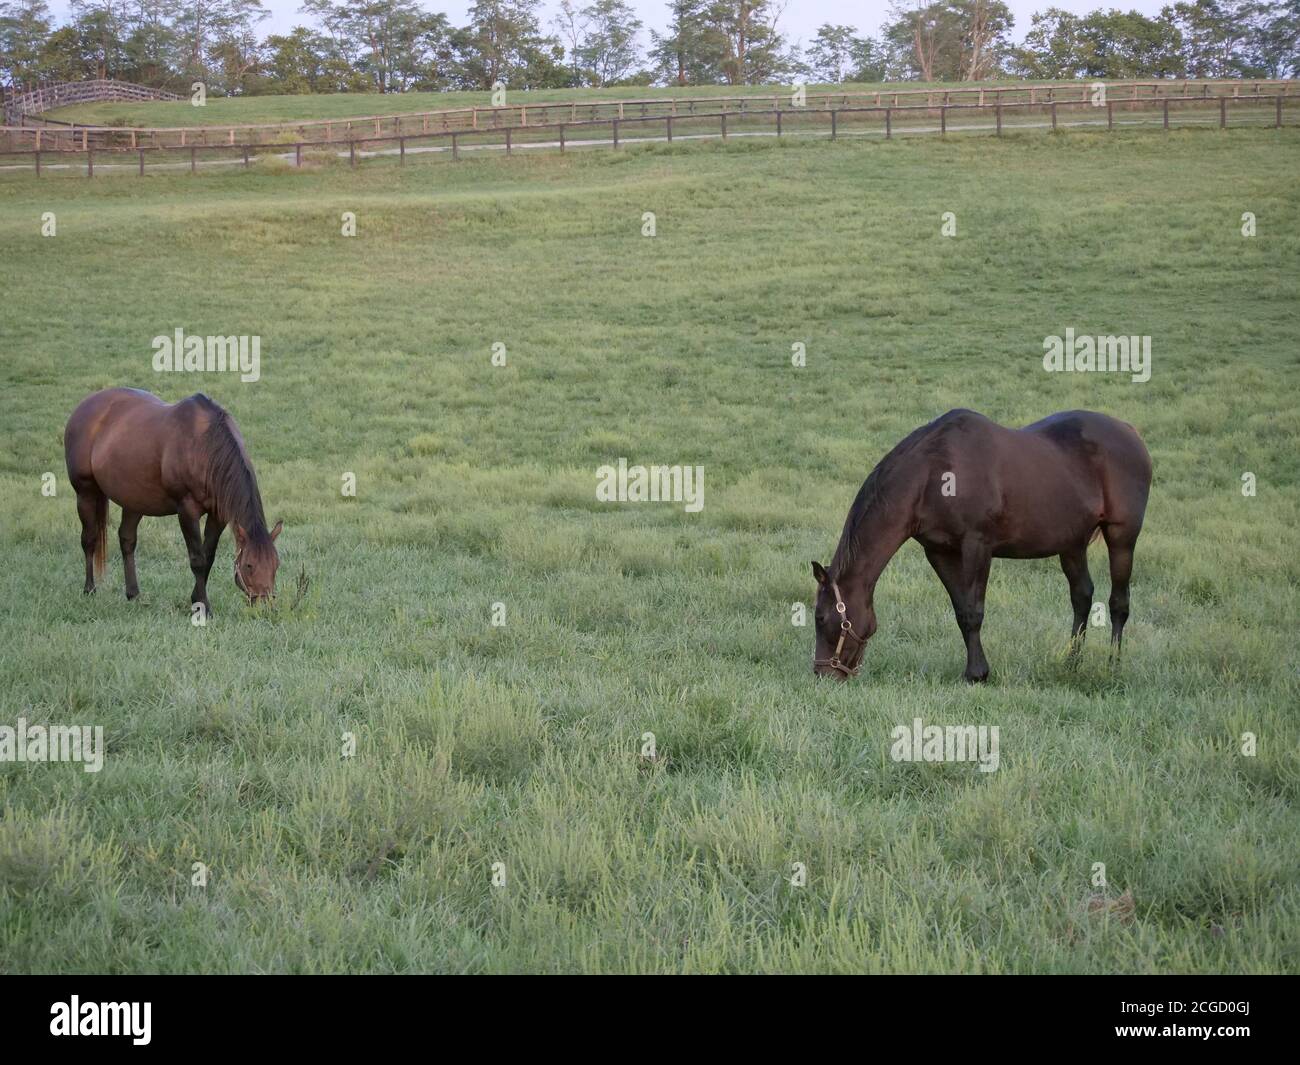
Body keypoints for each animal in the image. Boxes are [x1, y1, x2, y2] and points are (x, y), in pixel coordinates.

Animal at [64, 388, 283, 613]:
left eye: (276, 564)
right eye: (249, 565)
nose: (265, 605)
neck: (204, 447)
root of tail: (85, 406)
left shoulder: (218, 515)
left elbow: (208, 556)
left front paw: (196, 599)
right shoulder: (186, 511)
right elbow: (197, 559)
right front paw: (202, 606)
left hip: (134, 501)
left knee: (127, 540)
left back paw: (133, 594)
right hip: (85, 493)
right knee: (89, 540)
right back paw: (89, 589)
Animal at [811, 409, 1151, 682]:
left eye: (821, 618)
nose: (823, 674)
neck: (934, 473)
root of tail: (1129, 431)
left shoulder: (977, 545)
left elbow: (974, 612)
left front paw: (978, 674)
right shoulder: (940, 551)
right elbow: (961, 609)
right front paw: (974, 670)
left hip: (1122, 537)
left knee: (1119, 603)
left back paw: (1113, 666)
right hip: (1072, 543)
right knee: (1082, 597)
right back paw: (1071, 663)